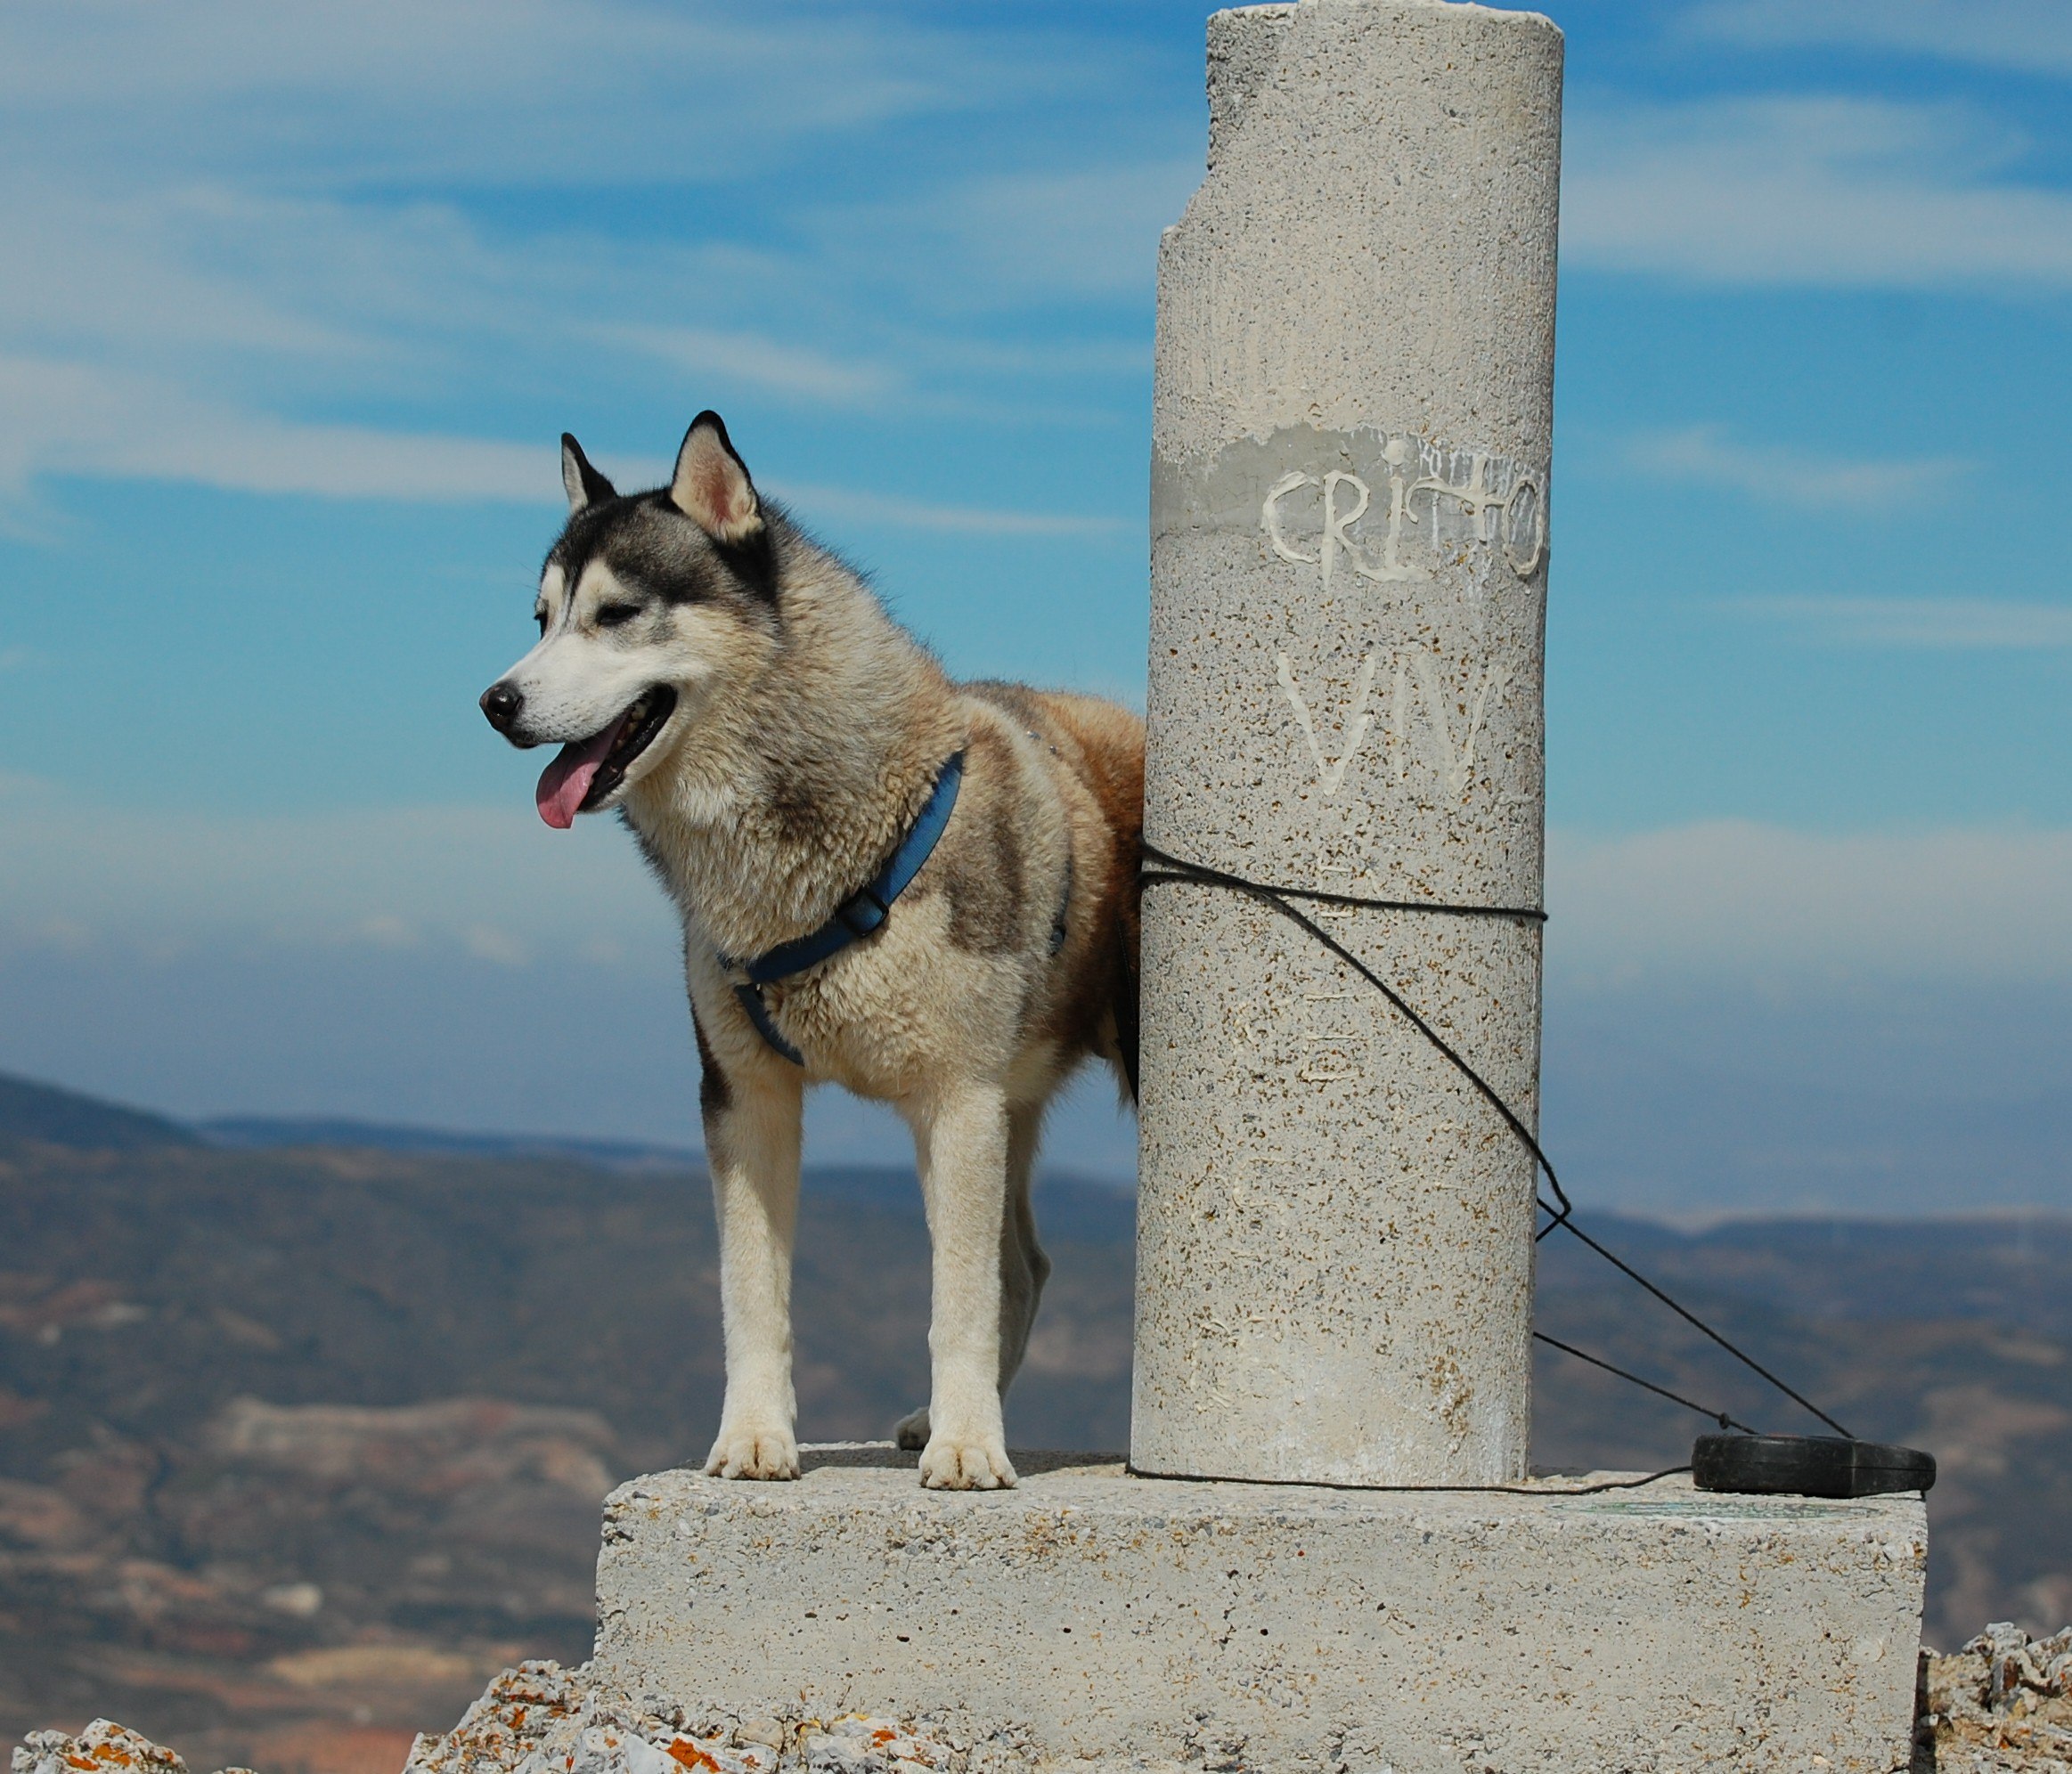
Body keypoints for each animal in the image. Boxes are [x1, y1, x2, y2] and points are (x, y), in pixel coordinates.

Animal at [476, 422, 1143, 1492]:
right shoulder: (744, 1096)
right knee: (1025, 1266)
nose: (497, 700)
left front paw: (969, 1448)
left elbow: (956, 1295)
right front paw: (754, 1437)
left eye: (616, 615)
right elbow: (753, 1294)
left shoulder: (957, 1098)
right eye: (541, 618)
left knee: (1003, 1269)